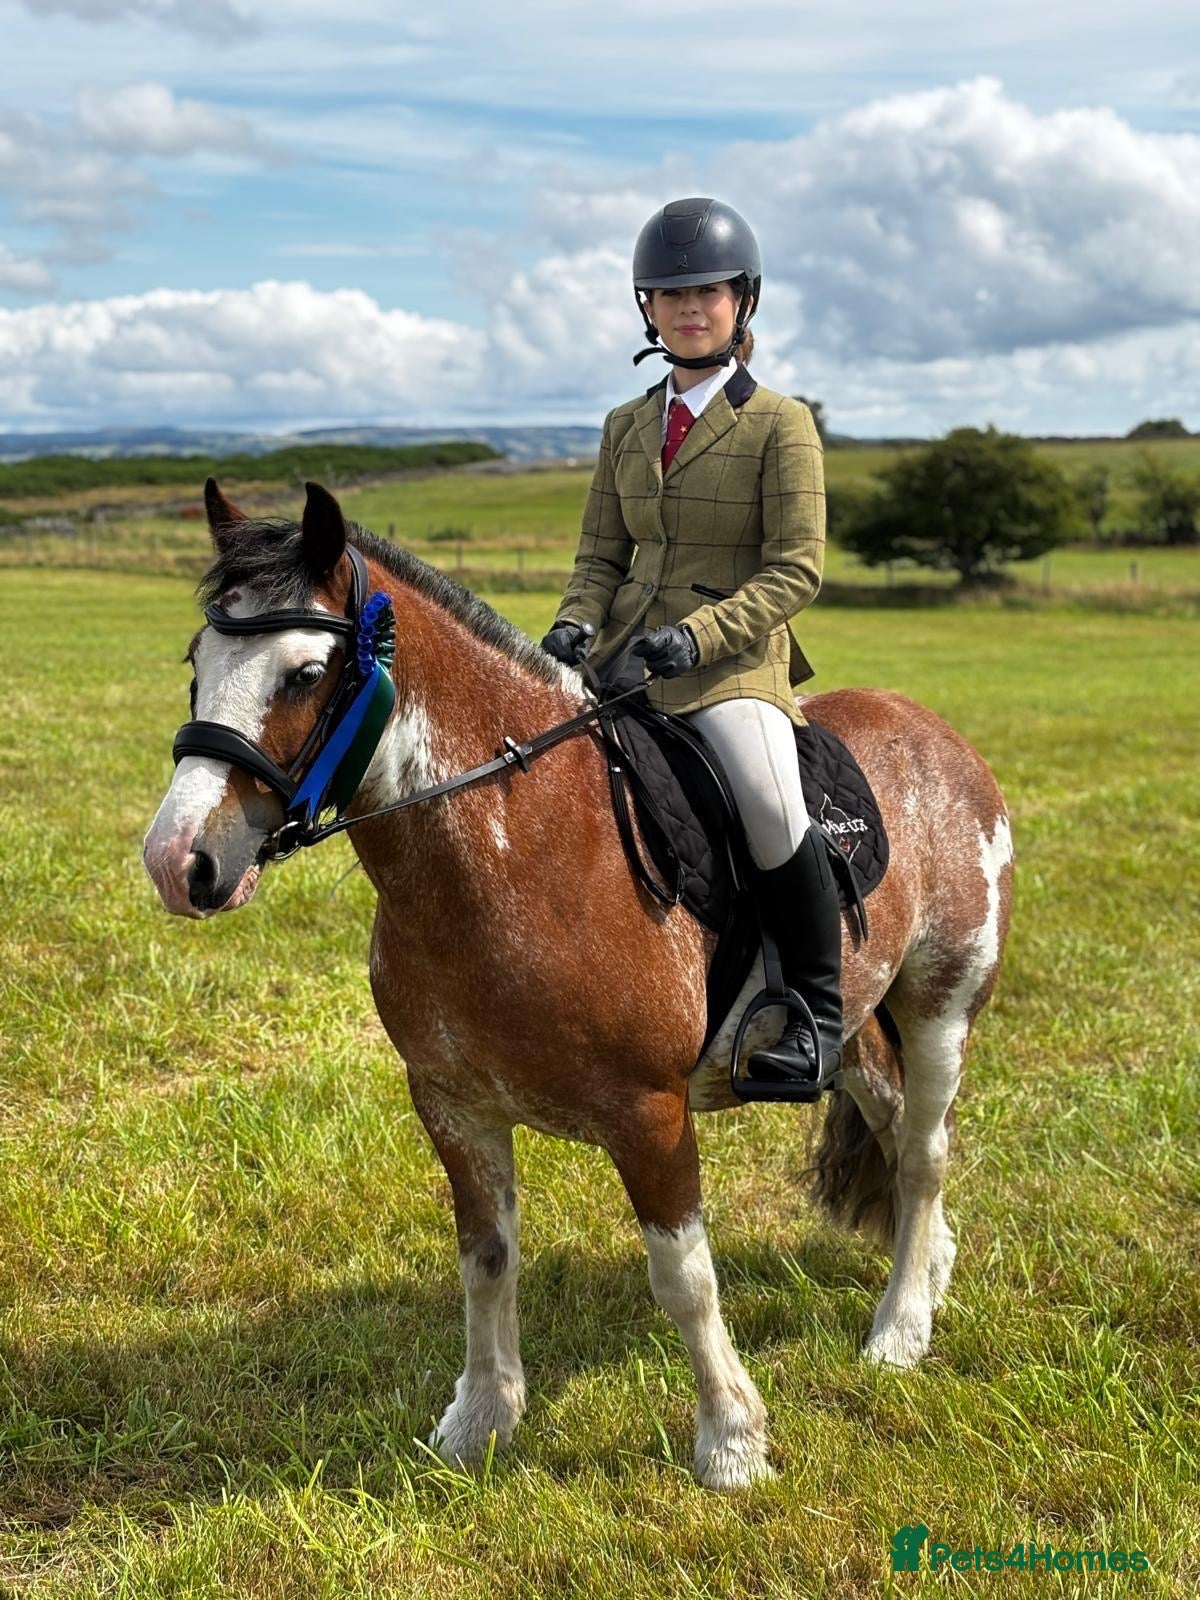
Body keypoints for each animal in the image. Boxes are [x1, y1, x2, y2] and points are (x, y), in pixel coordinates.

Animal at [143, 481, 1014, 1492]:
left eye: (304, 673)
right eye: (197, 661)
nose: (179, 861)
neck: (515, 842)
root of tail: (930, 731)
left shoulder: (649, 1116)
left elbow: (684, 1277)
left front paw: (731, 1442)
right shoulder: (454, 1107)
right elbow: (486, 1260)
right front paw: (479, 1421)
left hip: (942, 1006)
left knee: (923, 1152)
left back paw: (900, 1329)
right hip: (855, 1025)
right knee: (894, 1125)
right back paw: (931, 1271)